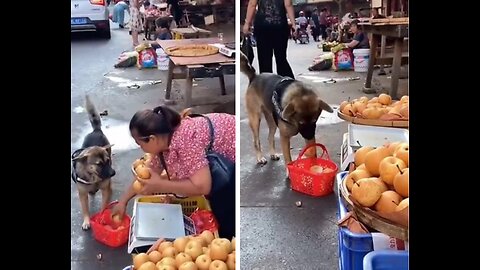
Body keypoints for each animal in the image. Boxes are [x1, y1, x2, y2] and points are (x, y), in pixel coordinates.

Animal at [71, 95, 115, 230]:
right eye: (99, 164)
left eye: (107, 161)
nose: (113, 173)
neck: (93, 176)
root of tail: (96, 130)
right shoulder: (82, 194)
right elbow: (85, 208)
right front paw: (86, 221)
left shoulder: (105, 190)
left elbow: (104, 205)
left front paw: (102, 216)